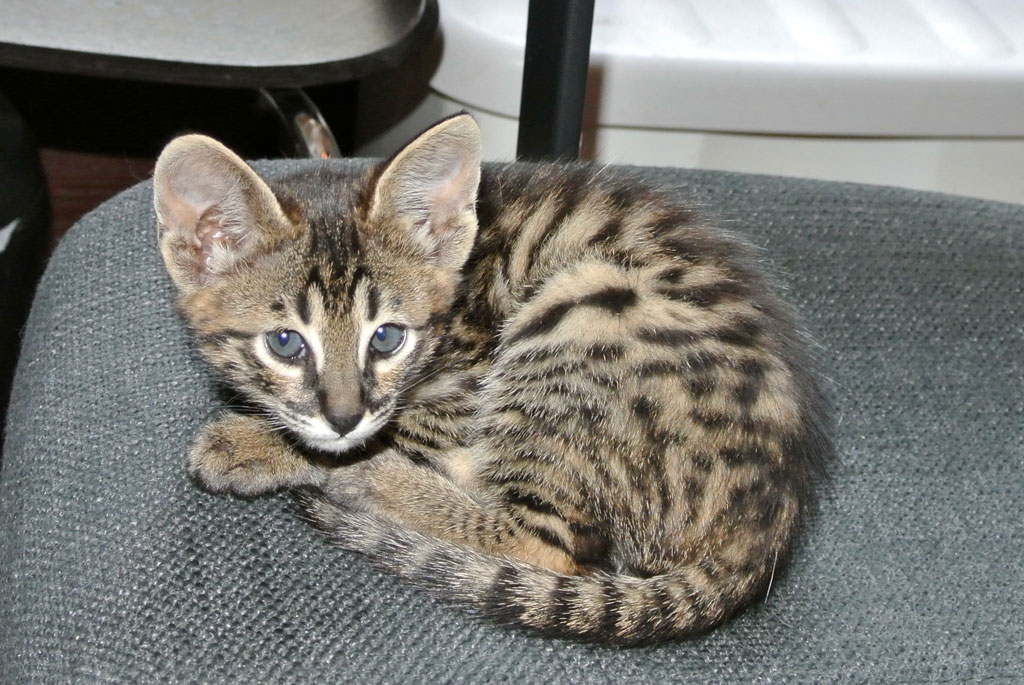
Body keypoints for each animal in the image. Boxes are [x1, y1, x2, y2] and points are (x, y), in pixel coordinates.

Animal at [154, 113, 832, 644]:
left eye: (387, 338)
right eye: (286, 343)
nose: (343, 417)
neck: (459, 285)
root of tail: (766, 525)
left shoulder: (455, 386)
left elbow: (392, 430)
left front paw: (255, 445)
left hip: (589, 304)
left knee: (546, 543)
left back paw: (370, 483)